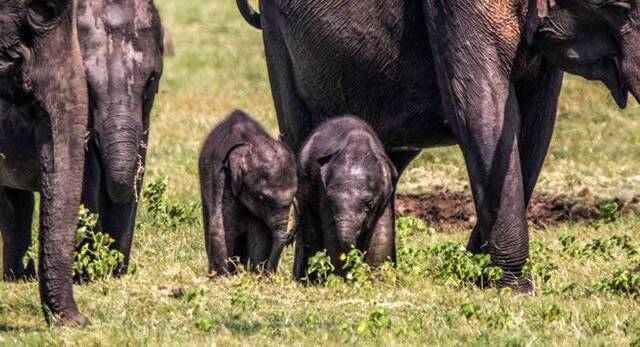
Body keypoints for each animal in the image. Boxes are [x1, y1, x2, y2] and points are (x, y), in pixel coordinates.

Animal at [200, 111, 298, 278]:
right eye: (262, 198)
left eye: (294, 196)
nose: (269, 275)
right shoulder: (222, 177)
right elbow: (222, 226)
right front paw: (224, 277)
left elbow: (259, 232)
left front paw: (255, 274)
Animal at [294, 115, 396, 282]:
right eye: (331, 201)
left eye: (370, 203)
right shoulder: (322, 190)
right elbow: (332, 235)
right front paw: (345, 281)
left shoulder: (385, 195)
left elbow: (381, 233)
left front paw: (375, 281)